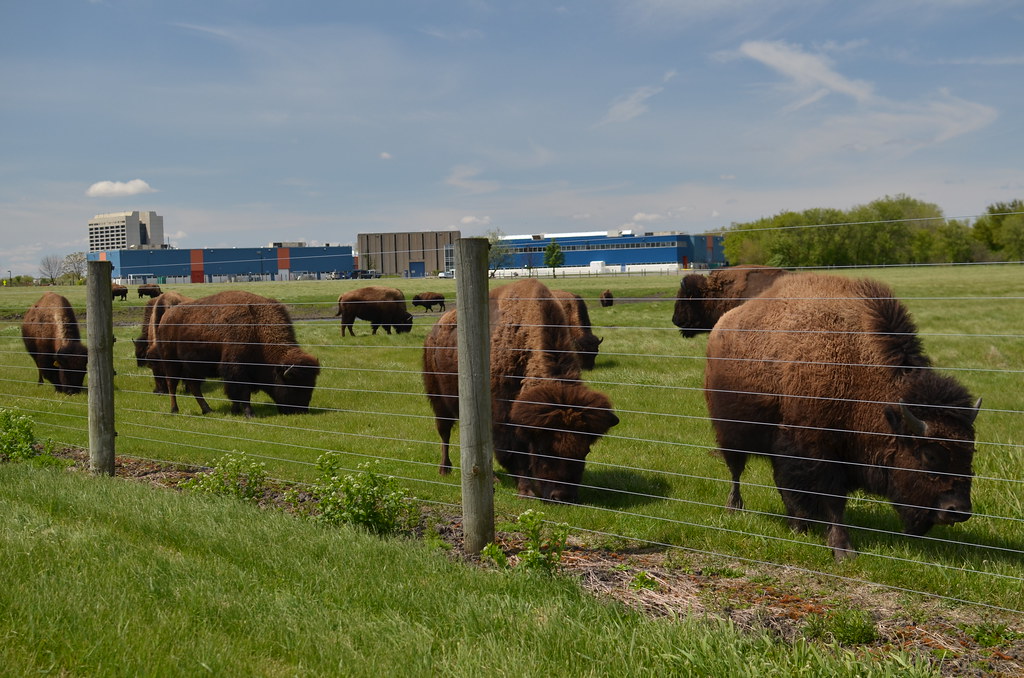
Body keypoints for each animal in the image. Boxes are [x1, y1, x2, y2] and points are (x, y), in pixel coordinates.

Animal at [154, 290, 320, 416]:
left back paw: (207, 410)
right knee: (172, 384)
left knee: (194, 386)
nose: (301, 411)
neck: (256, 326)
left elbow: (236, 395)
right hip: (171, 362)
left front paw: (235, 411)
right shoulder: (237, 369)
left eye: (311, 385)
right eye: (293, 385)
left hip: (193, 368)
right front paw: (249, 414)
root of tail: (166, 318)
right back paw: (175, 410)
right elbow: (243, 392)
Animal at [423, 278, 619, 503]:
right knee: (444, 432)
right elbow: (516, 455)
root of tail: (434, 332)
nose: (562, 497)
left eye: (585, 451)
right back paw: (446, 469)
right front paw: (526, 491)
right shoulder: (505, 419)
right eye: (543, 449)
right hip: (439, 400)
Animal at [704, 273, 980, 560]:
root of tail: (721, 326)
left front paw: (805, 527)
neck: (857, 366)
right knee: (736, 470)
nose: (958, 511)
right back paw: (734, 508)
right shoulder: (820, 452)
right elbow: (832, 500)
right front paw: (843, 550)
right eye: (930, 455)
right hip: (730, 432)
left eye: (970, 453)